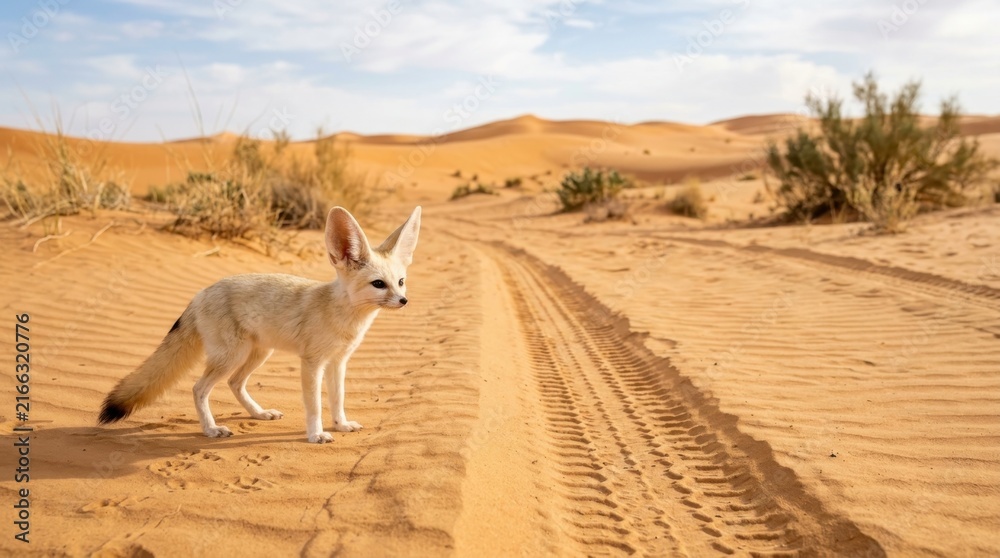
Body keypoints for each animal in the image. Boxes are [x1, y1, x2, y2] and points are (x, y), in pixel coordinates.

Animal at [98, 206, 421, 443]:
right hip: (233, 356)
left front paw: (341, 425)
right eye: (378, 284)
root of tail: (201, 292)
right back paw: (211, 429)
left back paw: (258, 413)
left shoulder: (338, 362)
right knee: (199, 388)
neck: (341, 313)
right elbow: (314, 405)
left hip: (257, 354)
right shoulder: (312, 362)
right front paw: (316, 434)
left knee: (235, 383)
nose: (404, 301)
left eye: (401, 282)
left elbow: (337, 399)